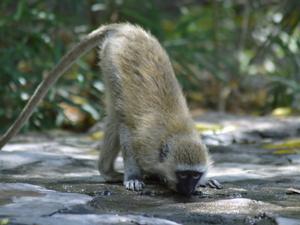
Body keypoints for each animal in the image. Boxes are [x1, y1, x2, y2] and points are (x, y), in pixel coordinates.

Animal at [0, 22, 218, 195]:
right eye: (184, 175)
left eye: (194, 175)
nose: (188, 190)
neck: (175, 133)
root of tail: (124, 29)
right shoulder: (144, 142)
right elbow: (127, 135)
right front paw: (134, 177)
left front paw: (206, 181)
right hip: (110, 59)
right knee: (117, 117)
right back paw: (107, 172)